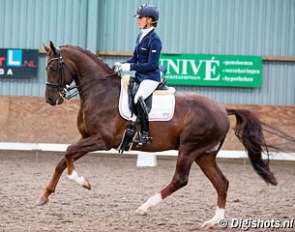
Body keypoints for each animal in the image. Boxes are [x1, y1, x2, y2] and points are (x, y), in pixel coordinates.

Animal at [35, 41, 278, 228]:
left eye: (54, 68)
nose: (51, 99)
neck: (101, 92)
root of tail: (222, 109)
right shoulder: (87, 138)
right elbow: (63, 159)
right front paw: (43, 196)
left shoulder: (102, 141)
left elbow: (68, 152)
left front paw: (83, 182)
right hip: (204, 154)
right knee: (222, 183)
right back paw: (213, 222)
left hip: (190, 149)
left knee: (180, 179)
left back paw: (144, 207)